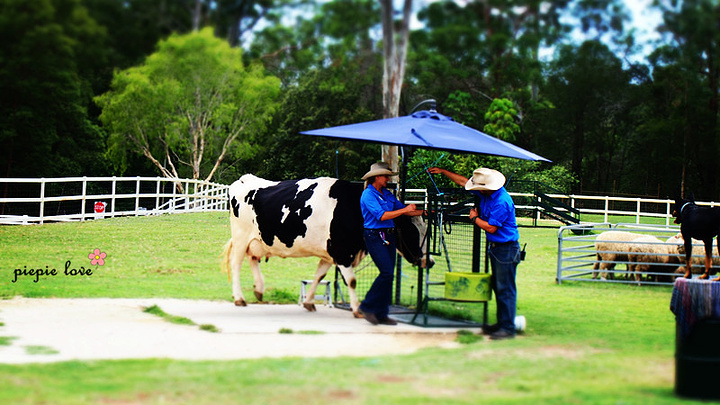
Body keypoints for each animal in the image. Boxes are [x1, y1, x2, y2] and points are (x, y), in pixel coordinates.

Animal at [222, 173, 430, 316]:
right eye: (412, 231)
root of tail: (244, 179)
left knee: (253, 259)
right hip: (241, 238)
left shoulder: (330, 254)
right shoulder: (341, 252)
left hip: (257, 241)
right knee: (236, 264)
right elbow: (351, 281)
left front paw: (309, 302)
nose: (430, 261)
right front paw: (357, 309)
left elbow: (319, 275)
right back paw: (239, 298)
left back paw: (258, 289)